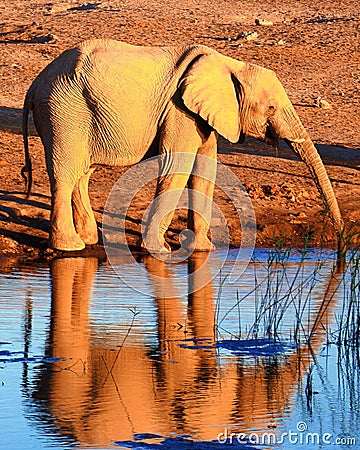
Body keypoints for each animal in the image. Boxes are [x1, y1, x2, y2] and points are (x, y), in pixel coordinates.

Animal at [21, 38, 344, 253]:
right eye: (271, 108)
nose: (342, 240)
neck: (230, 65)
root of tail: (35, 84)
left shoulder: (202, 114)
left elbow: (205, 170)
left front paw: (202, 250)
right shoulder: (180, 110)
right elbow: (177, 165)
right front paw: (159, 251)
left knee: (82, 173)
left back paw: (89, 240)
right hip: (63, 110)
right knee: (66, 173)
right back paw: (70, 248)